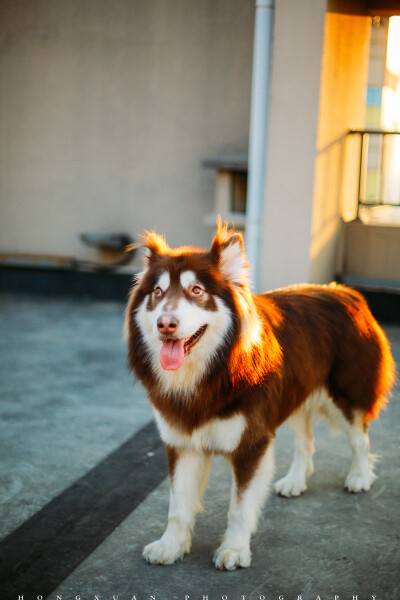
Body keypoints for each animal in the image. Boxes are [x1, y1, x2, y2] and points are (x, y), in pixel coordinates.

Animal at [126, 221, 396, 572]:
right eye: (157, 293)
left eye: (196, 291)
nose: (165, 325)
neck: (213, 371)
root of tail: (346, 291)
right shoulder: (182, 442)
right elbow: (178, 506)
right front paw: (170, 545)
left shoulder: (251, 442)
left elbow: (239, 508)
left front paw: (234, 549)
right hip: (292, 396)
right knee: (306, 442)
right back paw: (295, 481)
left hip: (345, 396)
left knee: (359, 438)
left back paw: (361, 475)